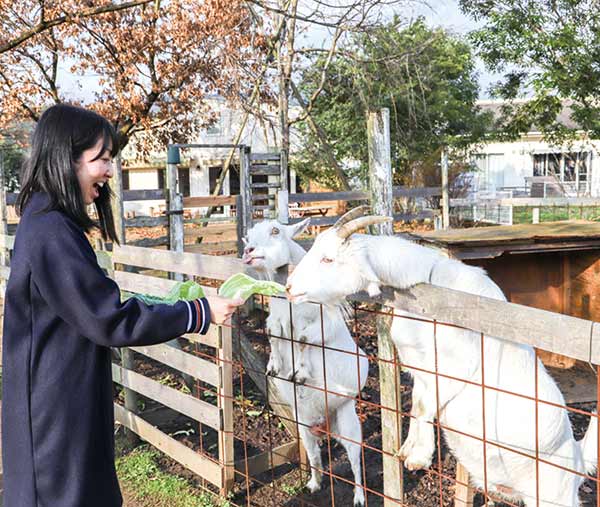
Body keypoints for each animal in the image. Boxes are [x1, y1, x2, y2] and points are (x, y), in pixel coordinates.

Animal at [241, 220, 368, 506]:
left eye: (275, 230)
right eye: (248, 236)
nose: (247, 251)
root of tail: (326, 424)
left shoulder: (323, 324)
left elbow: (301, 338)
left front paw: (299, 372)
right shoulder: (274, 321)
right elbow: (273, 335)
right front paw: (274, 367)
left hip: (348, 418)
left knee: (355, 457)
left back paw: (359, 496)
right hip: (304, 425)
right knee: (313, 453)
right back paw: (314, 484)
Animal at [288, 207, 596, 507]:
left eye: (328, 259)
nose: (290, 287)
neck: (431, 283)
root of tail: (578, 460)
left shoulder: (455, 367)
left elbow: (426, 407)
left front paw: (419, 457)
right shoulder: (420, 370)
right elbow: (416, 404)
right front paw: (407, 448)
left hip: (553, 496)